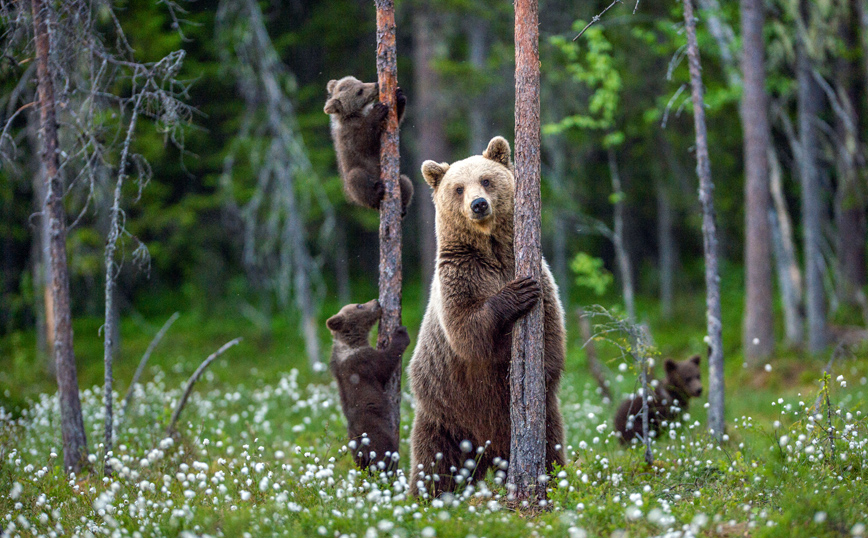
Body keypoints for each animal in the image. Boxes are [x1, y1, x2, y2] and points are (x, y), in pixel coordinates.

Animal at [326, 76, 414, 214]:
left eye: (360, 81)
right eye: (359, 91)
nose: (376, 85)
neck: (356, 114)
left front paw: (399, 96)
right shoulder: (349, 135)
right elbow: (364, 142)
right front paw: (378, 110)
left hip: (399, 180)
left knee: (406, 182)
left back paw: (403, 207)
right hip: (354, 181)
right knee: (356, 178)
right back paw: (377, 193)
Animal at [328, 300, 412, 472]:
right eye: (359, 305)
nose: (376, 301)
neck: (351, 343)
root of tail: (362, 444)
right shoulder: (364, 363)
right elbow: (385, 364)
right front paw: (401, 333)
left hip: (354, 449)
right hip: (377, 433)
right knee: (385, 454)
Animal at [408, 136, 568, 496]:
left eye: (486, 180)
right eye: (457, 188)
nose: (478, 204)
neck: (490, 250)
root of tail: (487, 452)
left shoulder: (538, 274)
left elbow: (551, 334)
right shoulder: (459, 276)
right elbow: (467, 331)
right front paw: (516, 294)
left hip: (542, 418)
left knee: (551, 445)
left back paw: (553, 480)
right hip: (445, 413)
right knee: (433, 462)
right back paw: (424, 496)